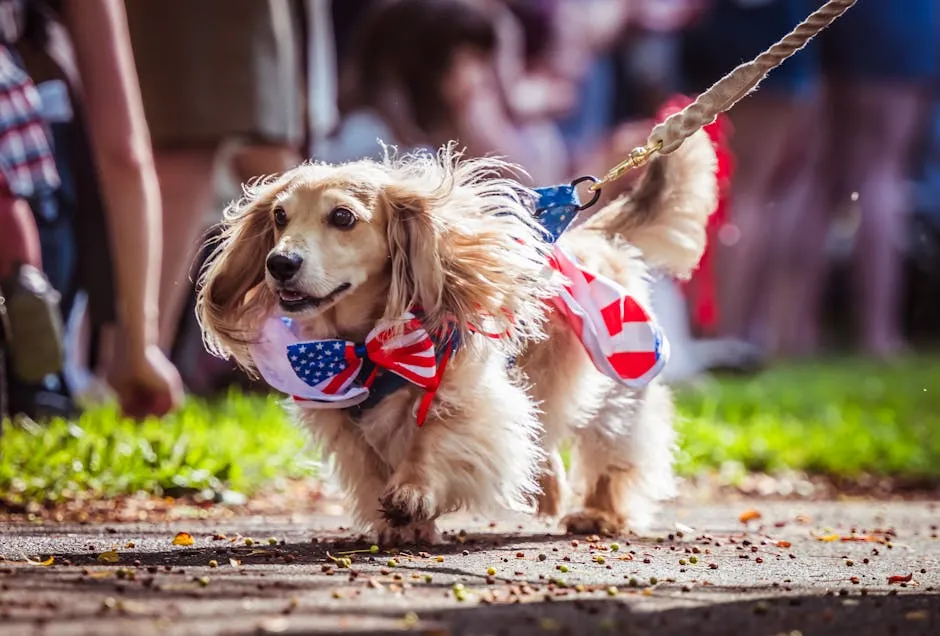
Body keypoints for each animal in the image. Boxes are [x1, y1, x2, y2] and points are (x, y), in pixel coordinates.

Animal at [195, 133, 716, 540]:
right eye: (279, 217)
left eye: (342, 217)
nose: (279, 263)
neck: (368, 347)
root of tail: (596, 237)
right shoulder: (342, 416)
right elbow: (372, 465)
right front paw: (401, 523)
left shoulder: (463, 396)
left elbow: (431, 442)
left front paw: (411, 495)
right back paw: (549, 491)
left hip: (618, 388)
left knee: (614, 450)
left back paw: (600, 513)